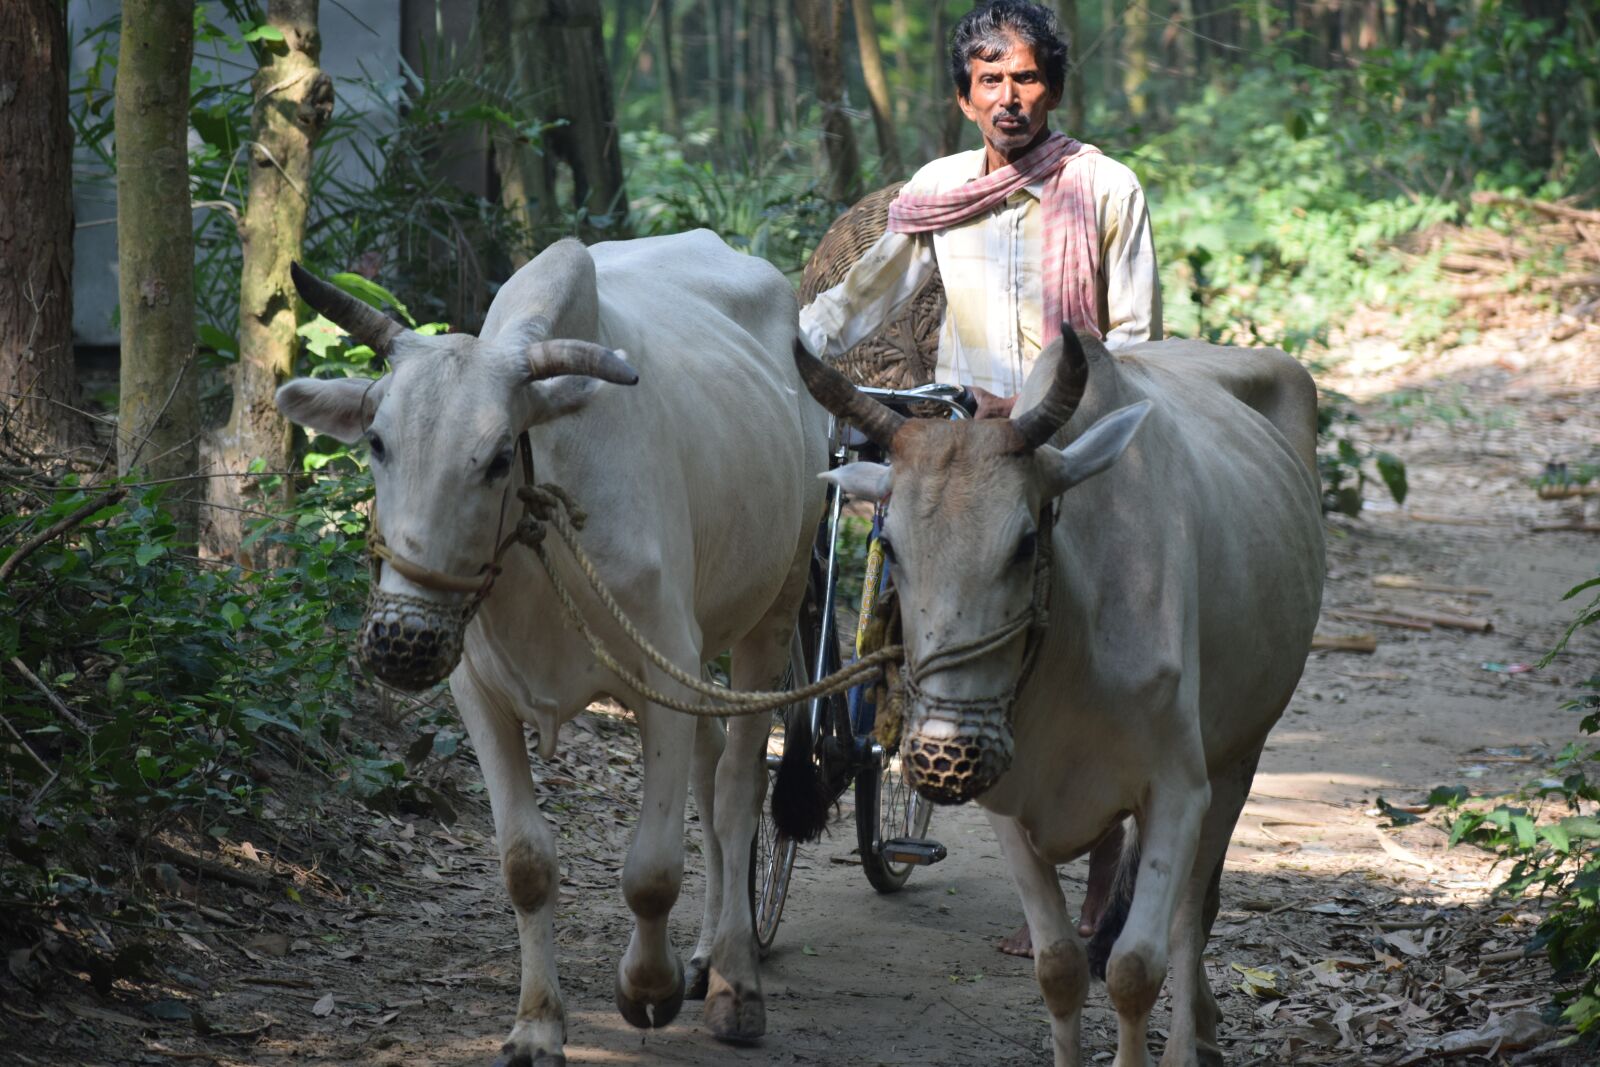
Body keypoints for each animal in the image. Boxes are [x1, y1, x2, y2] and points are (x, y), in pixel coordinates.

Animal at [275, 232, 829, 1065]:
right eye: (377, 441)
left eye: (501, 455)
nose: (403, 640)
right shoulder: (479, 691)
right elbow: (526, 864)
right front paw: (538, 1023)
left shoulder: (661, 674)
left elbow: (652, 869)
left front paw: (647, 988)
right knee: (709, 778)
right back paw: (703, 955)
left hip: (776, 604)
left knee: (737, 790)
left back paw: (734, 984)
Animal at [788, 329, 1325, 1067]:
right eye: (889, 545)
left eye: (1024, 542)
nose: (942, 755)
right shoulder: (1007, 805)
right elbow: (1061, 967)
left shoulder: (1178, 790)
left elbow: (1135, 967)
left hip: (1241, 752)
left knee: (1195, 913)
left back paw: (1195, 1038)